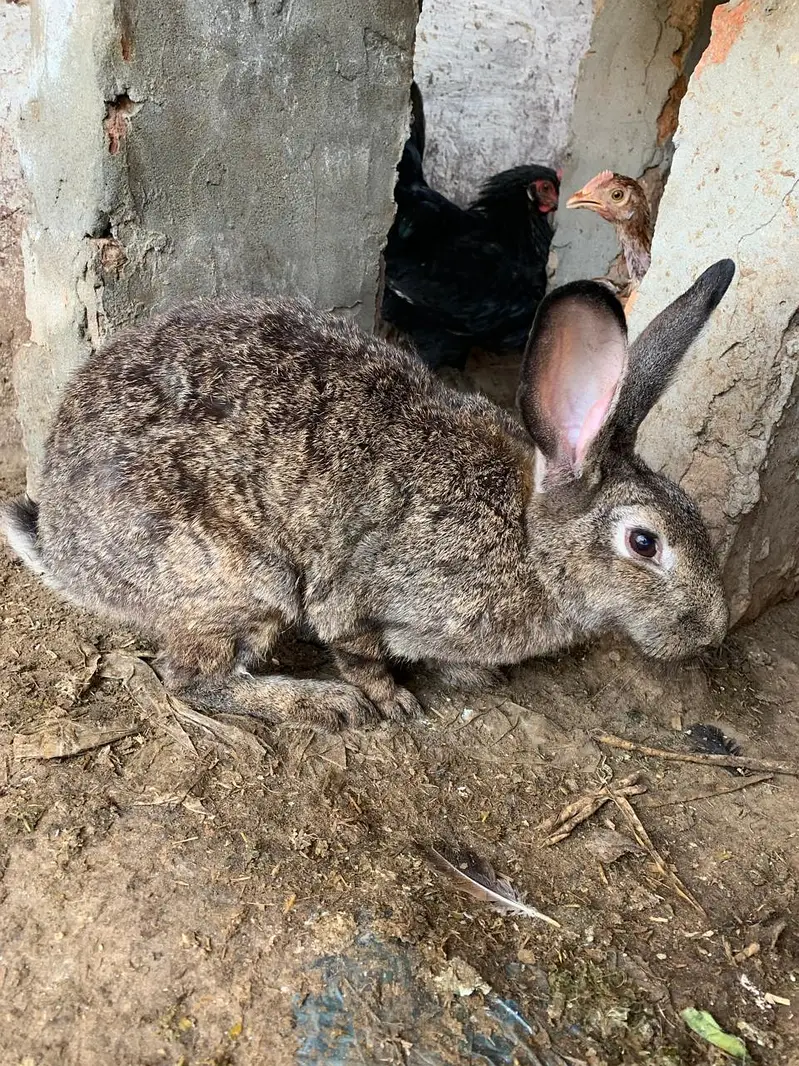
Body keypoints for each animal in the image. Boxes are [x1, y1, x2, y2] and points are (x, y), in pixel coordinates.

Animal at [1, 259, 735, 732]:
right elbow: (360, 652)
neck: (529, 536)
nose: (714, 630)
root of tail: (63, 552)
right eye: (644, 543)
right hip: (238, 583)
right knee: (194, 681)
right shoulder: (362, 598)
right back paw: (317, 706)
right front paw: (394, 702)